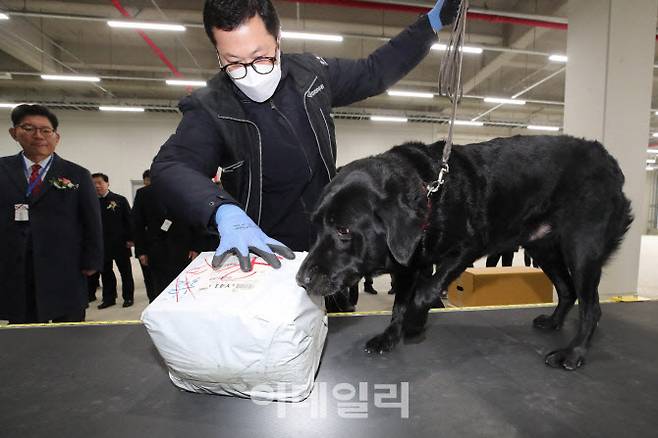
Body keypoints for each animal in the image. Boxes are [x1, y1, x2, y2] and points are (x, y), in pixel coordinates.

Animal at [298, 133, 632, 370]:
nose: (301, 280)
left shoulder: (467, 247)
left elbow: (424, 293)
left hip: (582, 247)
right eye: (315, 226)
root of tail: (608, 160)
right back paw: (553, 322)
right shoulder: (408, 265)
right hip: (543, 247)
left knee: (591, 306)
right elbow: (399, 304)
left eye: (343, 230)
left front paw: (414, 324)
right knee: (566, 290)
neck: (429, 193)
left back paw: (574, 352)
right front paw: (390, 336)